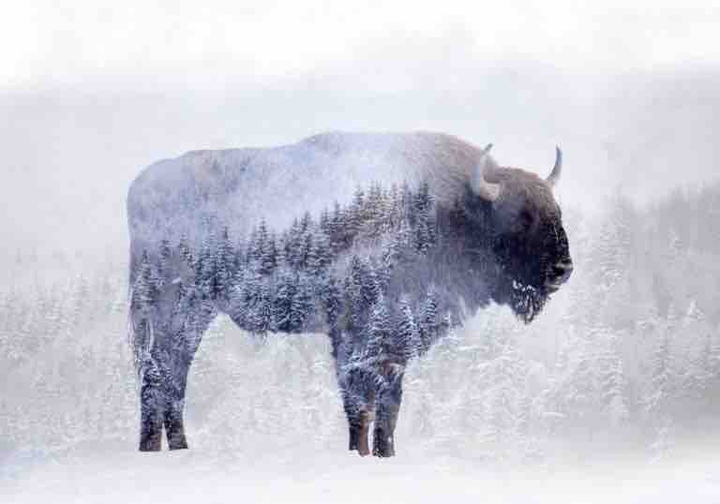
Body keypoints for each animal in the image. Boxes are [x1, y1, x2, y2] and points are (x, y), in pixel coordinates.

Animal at [127, 131, 573, 457]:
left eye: (556, 211)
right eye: (521, 216)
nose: (563, 269)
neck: (450, 209)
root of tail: (140, 186)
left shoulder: (391, 346)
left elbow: (386, 406)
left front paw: (382, 454)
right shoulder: (359, 337)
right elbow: (361, 403)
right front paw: (362, 454)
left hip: (191, 317)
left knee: (173, 379)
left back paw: (178, 449)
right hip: (170, 311)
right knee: (157, 378)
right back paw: (154, 450)